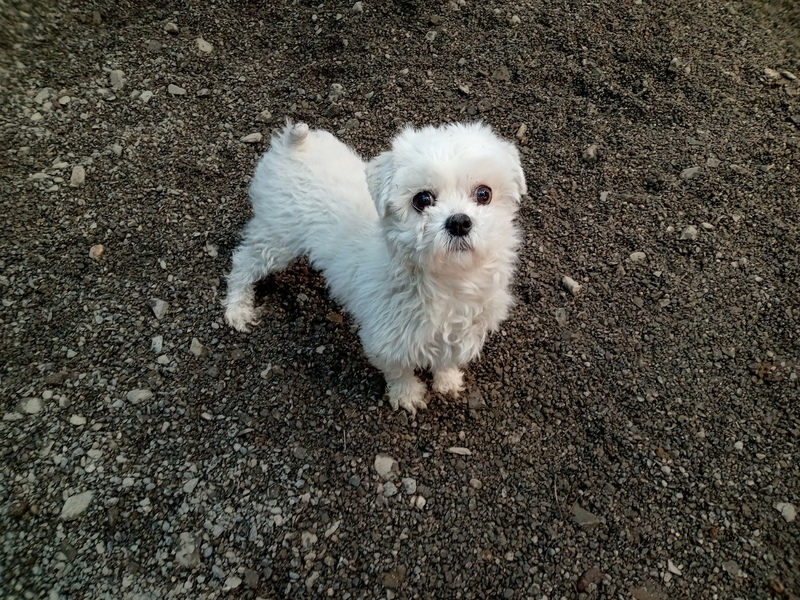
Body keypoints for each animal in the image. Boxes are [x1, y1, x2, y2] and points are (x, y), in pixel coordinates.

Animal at [224, 121, 526, 415]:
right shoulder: (385, 338)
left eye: (484, 194)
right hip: (278, 241)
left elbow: (447, 358)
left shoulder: (461, 331)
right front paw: (407, 395)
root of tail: (293, 144)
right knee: (243, 263)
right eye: (422, 199)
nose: (459, 222)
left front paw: (447, 380)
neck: (449, 282)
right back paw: (238, 309)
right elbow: (398, 370)